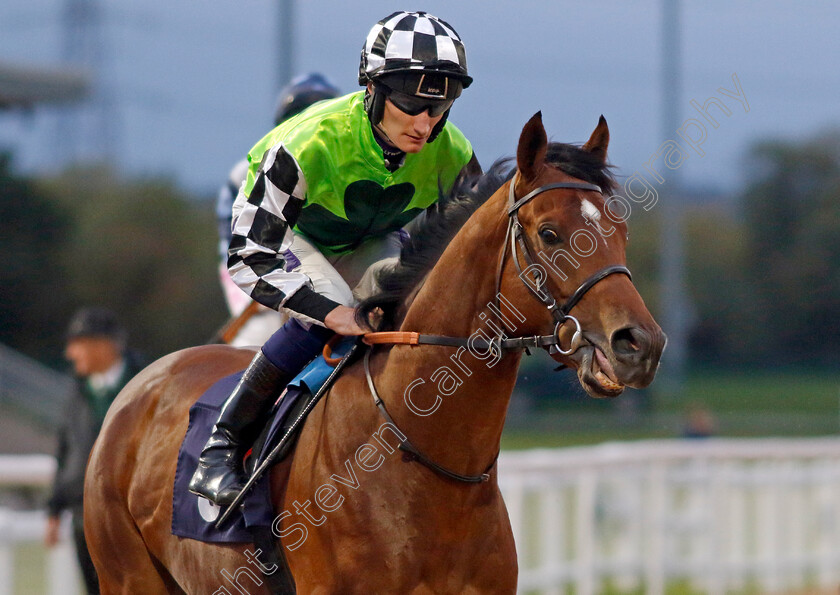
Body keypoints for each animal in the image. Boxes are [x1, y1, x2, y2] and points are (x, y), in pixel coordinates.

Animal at [85, 113, 664, 595]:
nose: (641, 345)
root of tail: (141, 384)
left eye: (621, 228)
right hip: (128, 576)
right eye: (549, 233)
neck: (429, 463)